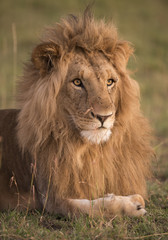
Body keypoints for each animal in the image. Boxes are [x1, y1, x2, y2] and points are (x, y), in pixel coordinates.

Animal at [0, 9, 154, 218]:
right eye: (77, 82)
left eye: (110, 82)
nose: (104, 117)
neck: (88, 149)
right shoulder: (52, 199)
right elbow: (93, 207)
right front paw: (131, 204)